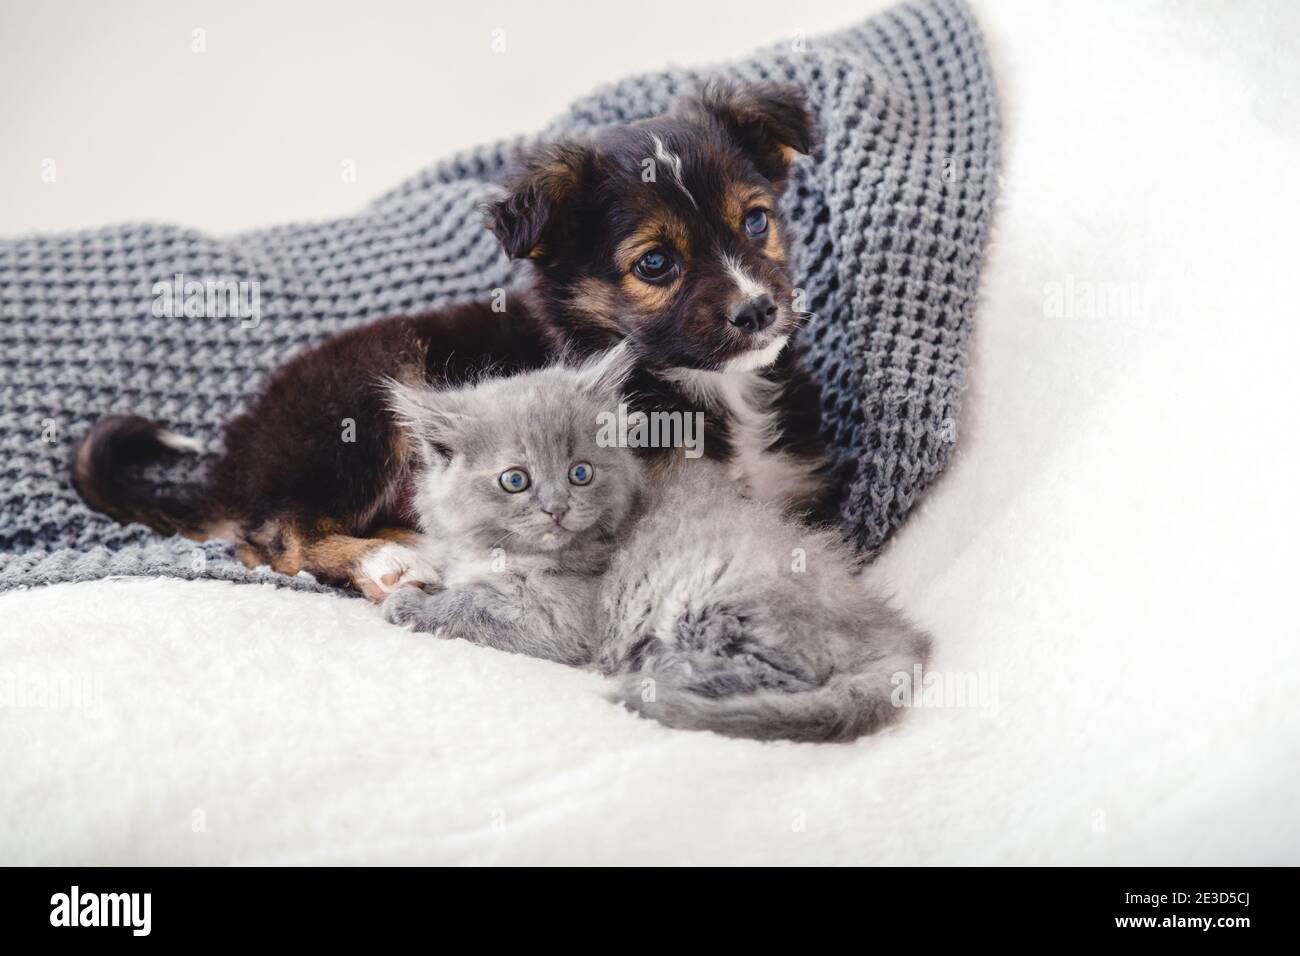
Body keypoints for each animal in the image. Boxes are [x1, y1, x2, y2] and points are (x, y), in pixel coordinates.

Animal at [76, 82, 832, 598]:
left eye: (756, 221)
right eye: (654, 264)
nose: (757, 311)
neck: (719, 391)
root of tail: (236, 460)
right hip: (367, 395)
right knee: (273, 537)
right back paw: (387, 563)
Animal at [379, 353, 930, 749]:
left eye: (581, 473)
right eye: (515, 480)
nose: (557, 509)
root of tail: (895, 635)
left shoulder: (558, 621)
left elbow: (470, 607)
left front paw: (412, 604)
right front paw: (416, 580)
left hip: (710, 596)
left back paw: (658, 674)